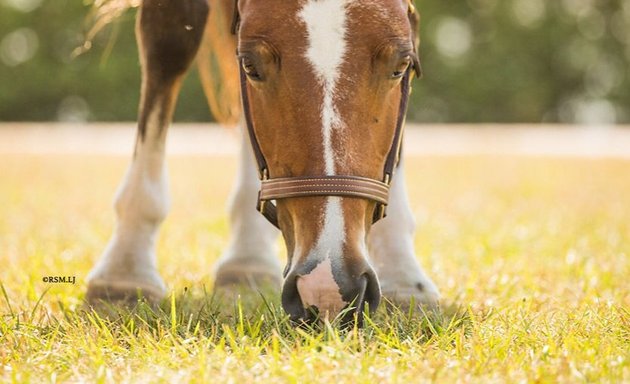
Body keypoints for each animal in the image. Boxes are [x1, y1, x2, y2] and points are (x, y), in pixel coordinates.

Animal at [86, 0, 442, 324]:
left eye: (401, 66)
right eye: (251, 67)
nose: (328, 286)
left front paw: (404, 276)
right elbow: (169, 41)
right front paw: (126, 271)